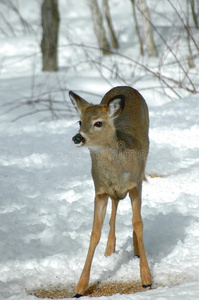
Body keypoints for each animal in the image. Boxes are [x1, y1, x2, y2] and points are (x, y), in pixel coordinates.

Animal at [69, 85, 152, 296]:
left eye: (98, 123)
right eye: (80, 121)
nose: (77, 137)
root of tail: (126, 87)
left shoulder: (135, 184)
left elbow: (138, 223)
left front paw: (146, 278)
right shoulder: (99, 190)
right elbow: (94, 232)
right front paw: (80, 287)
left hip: (143, 164)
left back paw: (136, 251)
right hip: (111, 192)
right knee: (115, 205)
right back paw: (110, 250)